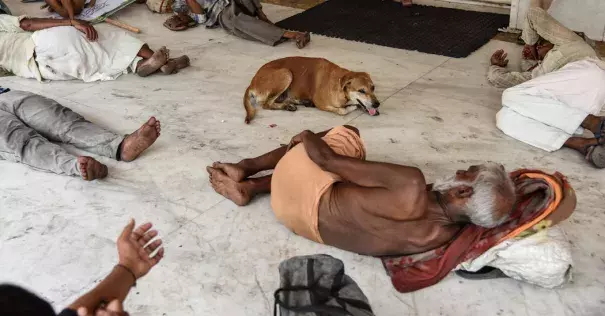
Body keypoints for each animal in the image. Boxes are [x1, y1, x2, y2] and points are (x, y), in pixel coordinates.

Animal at [242, 56, 378, 123]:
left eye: (373, 87)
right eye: (361, 91)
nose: (377, 104)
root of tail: (252, 83)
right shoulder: (322, 104)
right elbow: (342, 111)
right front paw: (352, 107)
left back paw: (298, 103)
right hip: (286, 73)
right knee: (266, 104)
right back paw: (288, 106)